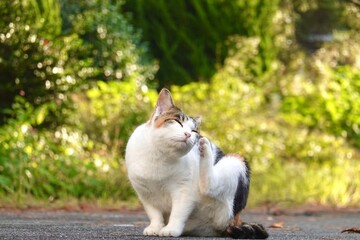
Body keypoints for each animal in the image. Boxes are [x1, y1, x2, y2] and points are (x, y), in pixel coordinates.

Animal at [125, 89, 268, 239]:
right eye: (178, 122)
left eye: (194, 131)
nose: (188, 134)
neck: (159, 156)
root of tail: (235, 221)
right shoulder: (145, 194)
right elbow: (154, 213)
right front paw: (155, 227)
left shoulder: (184, 190)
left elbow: (178, 212)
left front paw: (171, 229)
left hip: (235, 161)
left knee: (210, 186)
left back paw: (205, 147)